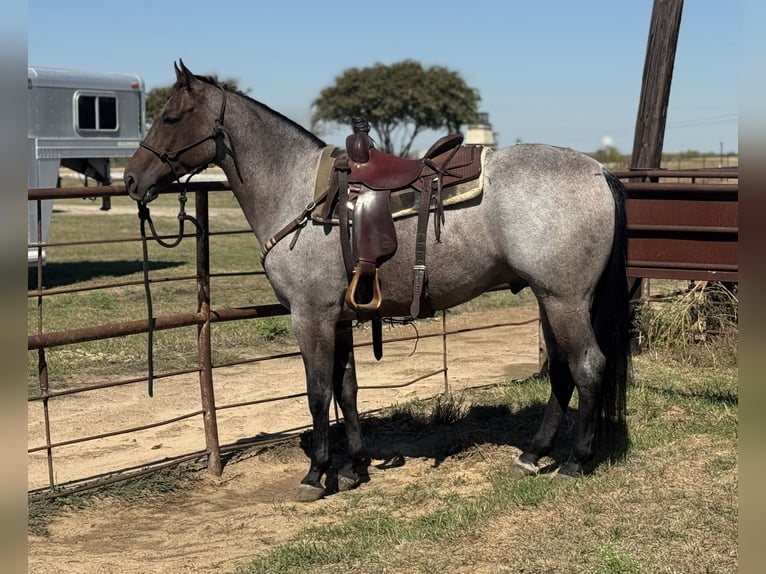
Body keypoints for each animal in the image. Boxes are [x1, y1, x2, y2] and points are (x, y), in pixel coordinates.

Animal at [124, 61, 630, 502]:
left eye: (170, 117)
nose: (131, 179)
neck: (297, 192)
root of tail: (598, 170)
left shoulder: (310, 316)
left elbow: (317, 393)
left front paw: (317, 474)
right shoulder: (340, 317)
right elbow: (346, 389)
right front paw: (352, 467)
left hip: (565, 300)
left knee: (587, 367)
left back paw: (575, 461)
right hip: (551, 300)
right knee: (562, 371)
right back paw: (533, 454)